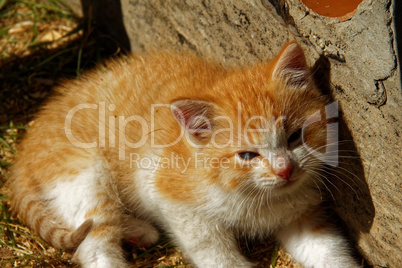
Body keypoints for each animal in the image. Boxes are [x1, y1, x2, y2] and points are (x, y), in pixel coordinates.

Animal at [9, 40, 360, 266]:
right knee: (94, 240)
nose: (284, 170)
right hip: (84, 174)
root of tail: (30, 135)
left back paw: (139, 230)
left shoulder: (302, 215)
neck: (258, 196)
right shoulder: (173, 198)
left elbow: (329, 251)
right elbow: (212, 250)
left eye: (295, 136)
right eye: (247, 156)